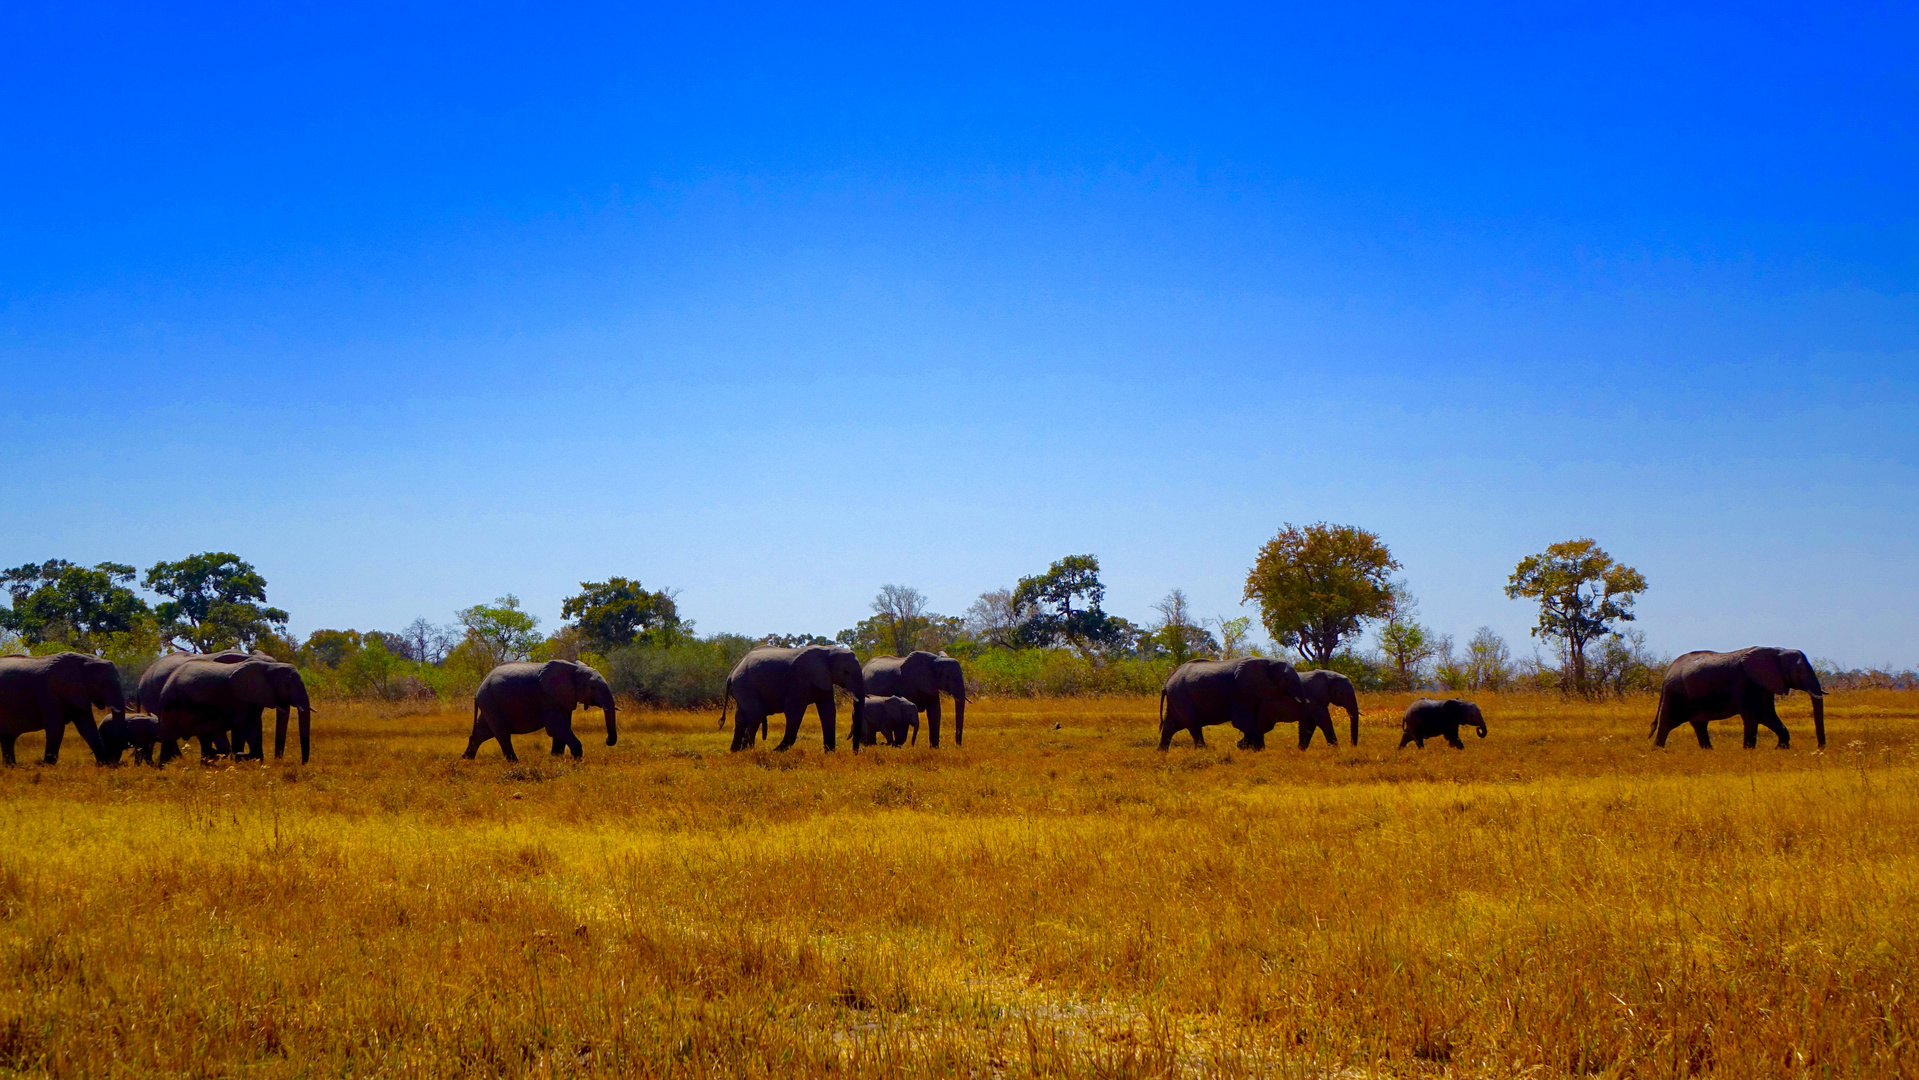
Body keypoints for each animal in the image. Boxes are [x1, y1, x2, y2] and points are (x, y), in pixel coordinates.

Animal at [155, 656, 310, 763]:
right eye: (287, 685)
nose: (302, 763)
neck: (269, 666)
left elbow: (255, 723)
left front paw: (253, 759)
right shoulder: (240, 695)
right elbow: (249, 724)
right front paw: (250, 758)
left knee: (204, 737)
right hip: (171, 704)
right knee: (169, 736)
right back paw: (163, 768)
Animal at [462, 656, 617, 763]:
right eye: (592, 687)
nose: (607, 741)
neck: (572, 669)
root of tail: (480, 685)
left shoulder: (563, 698)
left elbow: (561, 728)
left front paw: (555, 758)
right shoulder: (548, 697)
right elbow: (555, 727)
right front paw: (577, 760)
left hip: (488, 704)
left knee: (481, 732)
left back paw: (466, 760)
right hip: (491, 702)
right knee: (501, 733)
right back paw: (515, 763)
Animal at [721, 648, 871, 755]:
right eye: (846, 672)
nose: (855, 752)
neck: (828, 651)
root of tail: (731, 673)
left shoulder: (823, 680)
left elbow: (828, 711)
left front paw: (829, 754)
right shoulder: (800, 680)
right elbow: (794, 711)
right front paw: (776, 752)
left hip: (742, 686)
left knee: (741, 717)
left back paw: (735, 751)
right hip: (744, 683)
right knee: (756, 714)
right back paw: (747, 751)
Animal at [1151, 659, 1304, 751]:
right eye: (1285, 678)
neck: (1267, 660)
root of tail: (1167, 681)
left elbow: (1255, 722)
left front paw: (1246, 747)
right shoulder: (1240, 692)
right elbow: (1241, 721)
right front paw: (1259, 749)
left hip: (1177, 697)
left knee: (1170, 725)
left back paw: (1161, 752)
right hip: (1180, 695)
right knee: (1193, 723)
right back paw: (1203, 750)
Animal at [1650, 648, 1826, 748]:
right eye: (1799, 671)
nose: (1819, 748)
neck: (1777, 651)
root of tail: (1667, 671)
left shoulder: (1763, 684)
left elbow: (1767, 715)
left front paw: (1780, 749)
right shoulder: (1745, 683)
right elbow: (1753, 716)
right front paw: (1749, 751)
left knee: (1699, 725)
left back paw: (1709, 751)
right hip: (1674, 693)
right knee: (1667, 723)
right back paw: (1658, 751)